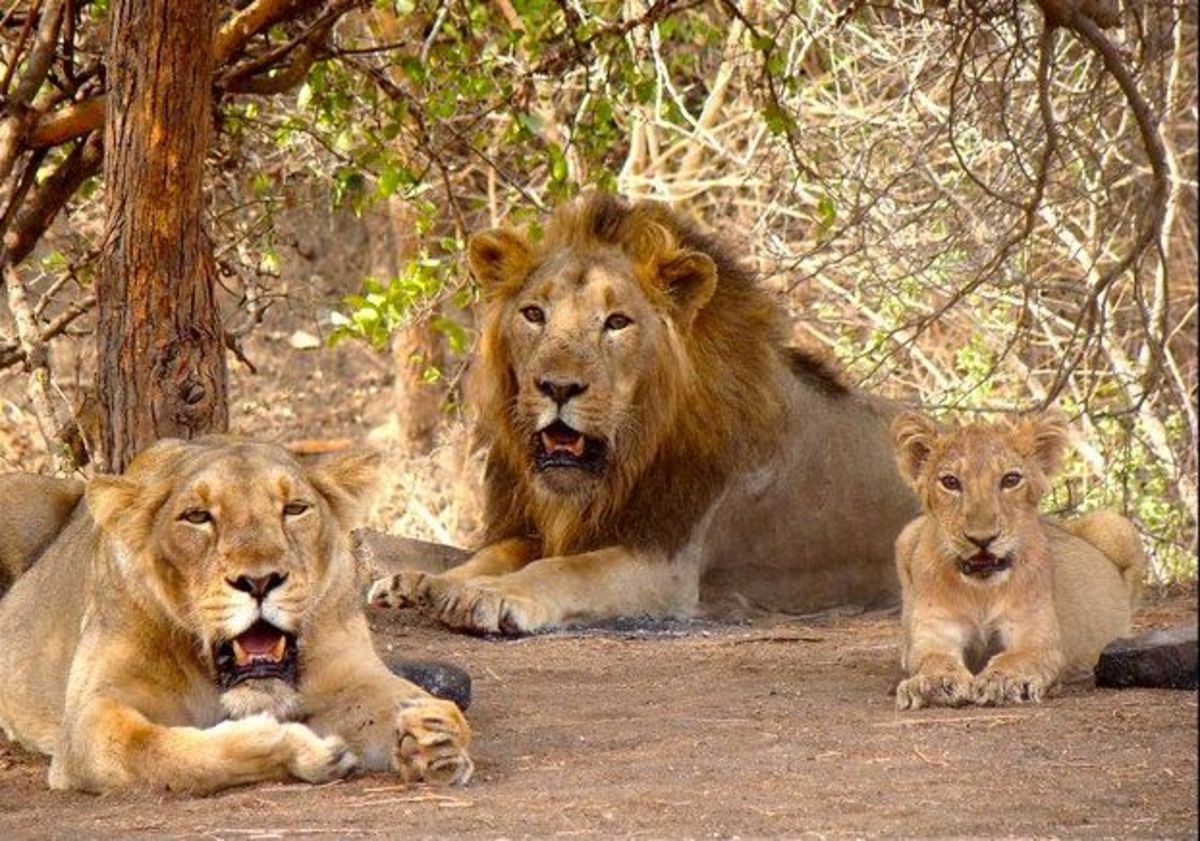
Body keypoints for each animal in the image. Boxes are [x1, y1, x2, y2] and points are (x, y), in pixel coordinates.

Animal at [0, 437, 473, 794]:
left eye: (294, 508)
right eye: (197, 517)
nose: (260, 581)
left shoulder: (349, 674)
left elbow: (411, 702)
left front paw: (435, 735)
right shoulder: (88, 719)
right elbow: (164, 754)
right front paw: (300, 750)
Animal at [368, 191, 917, 634]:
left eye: (617, 322)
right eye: (533, 314)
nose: (558, 387)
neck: (624, 462)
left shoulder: (667, 563)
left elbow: (566, 570)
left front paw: (489, 595)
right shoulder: (541, 527)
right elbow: (491, 553)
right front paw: (422, 581)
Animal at [890, 412, 1145, 709]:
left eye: (1010, 479)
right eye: (951, 482)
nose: (982, 539)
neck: (981, 592)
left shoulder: (1037, 637)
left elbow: (1017, 657)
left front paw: (1004, 681)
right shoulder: (935, 633)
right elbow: (933, 658)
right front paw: (933, 683)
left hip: (1115, 525)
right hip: (907, 535)